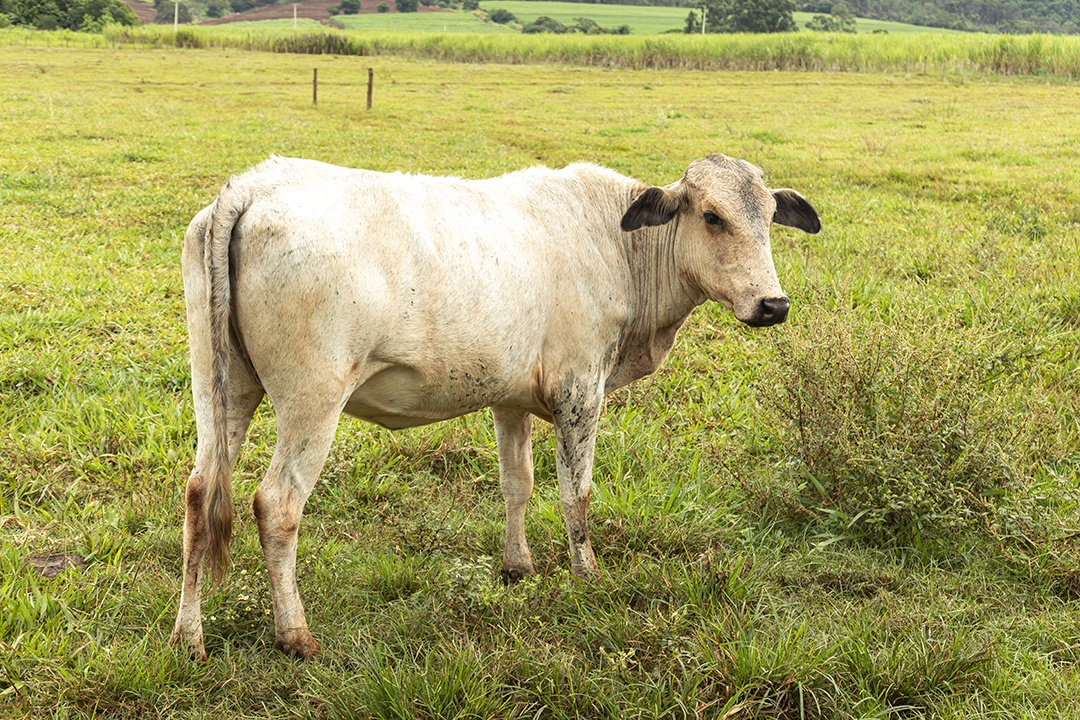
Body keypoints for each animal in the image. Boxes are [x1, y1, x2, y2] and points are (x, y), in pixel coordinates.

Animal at [170, 155, 816, 660]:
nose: (773, 304)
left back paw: (188, 636)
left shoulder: (511, 397)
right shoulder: (581, 388)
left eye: (769, 217)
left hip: (221, 389)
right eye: (712, 216)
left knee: (201, 494)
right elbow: (575, 493)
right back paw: (295, 635)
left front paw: (517, 566)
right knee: (277, 504)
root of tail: (254, 184)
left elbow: (518, 483)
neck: (617, 243)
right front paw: (588, 575)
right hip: (313, 399)